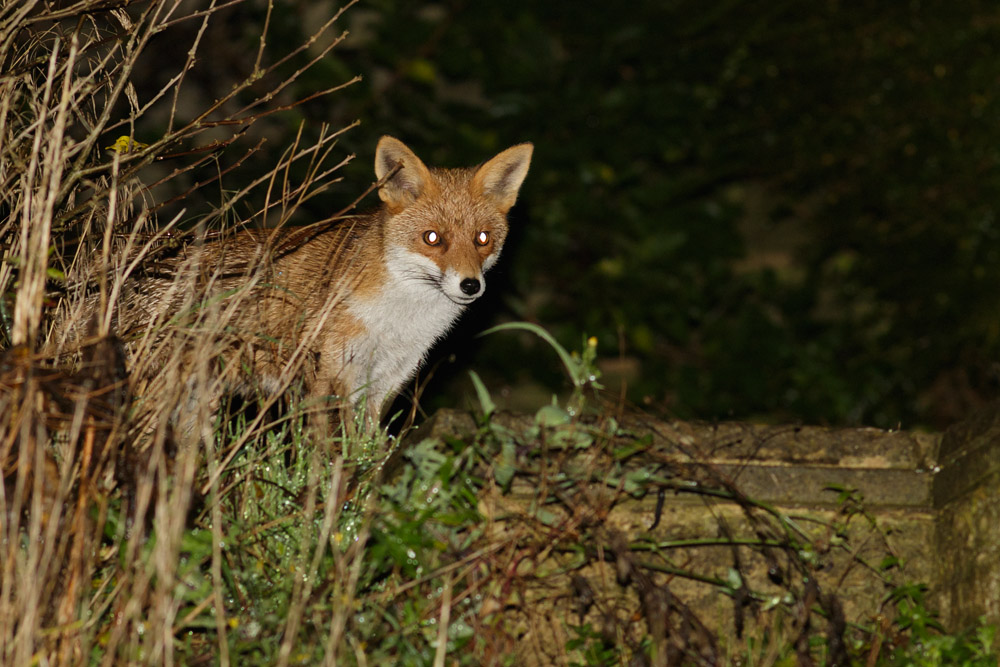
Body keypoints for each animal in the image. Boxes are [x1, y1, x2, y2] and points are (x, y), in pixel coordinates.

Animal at [65, 136, 533, 434]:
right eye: (432, 239)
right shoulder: (327, 377)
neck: (399, 322)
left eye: (483, 240)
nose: (470, 286)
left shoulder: (383, 386)